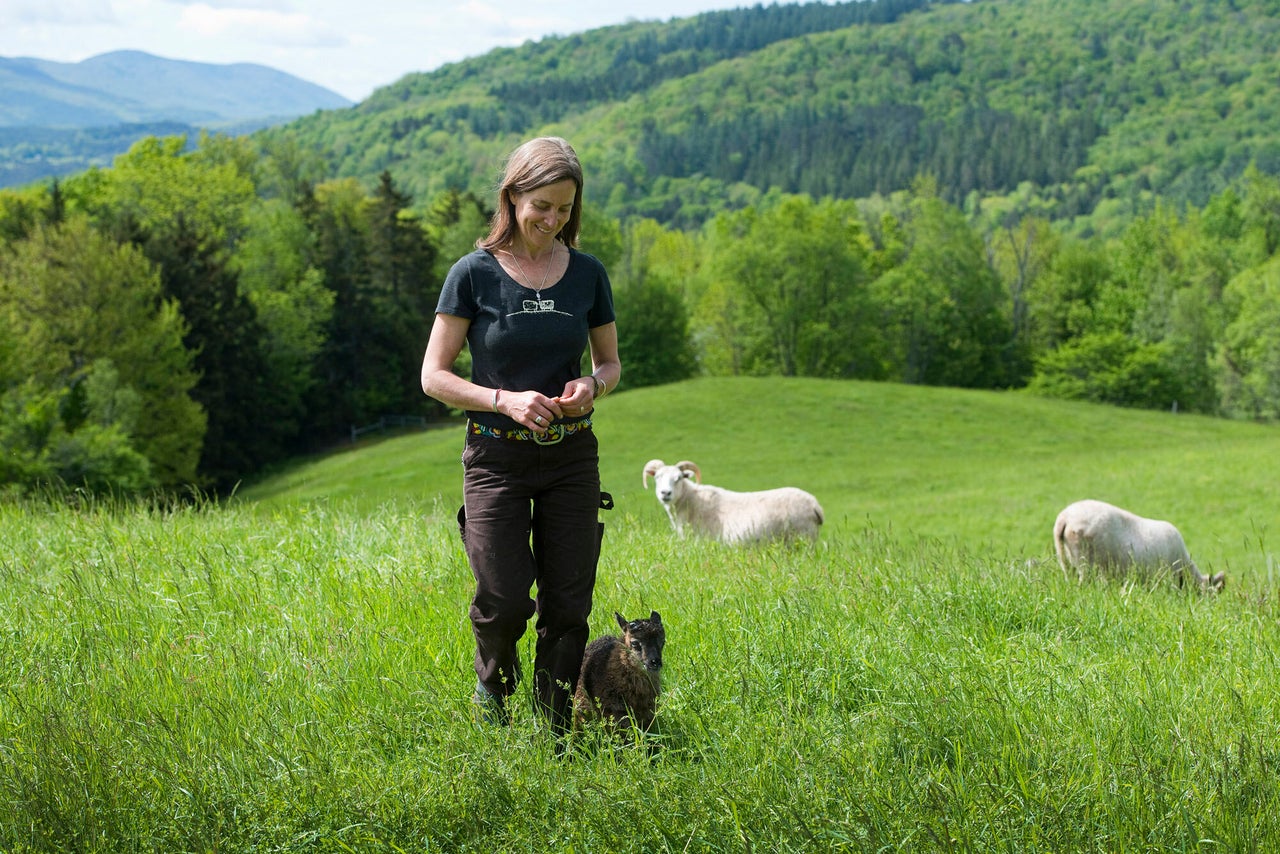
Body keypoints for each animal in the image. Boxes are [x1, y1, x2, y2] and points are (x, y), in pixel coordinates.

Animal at [642, 459, 824, 545]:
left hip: (802, 538)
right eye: (657, 477)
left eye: (678, 478)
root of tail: (815, 505)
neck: (689, 501)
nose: (665, 493)